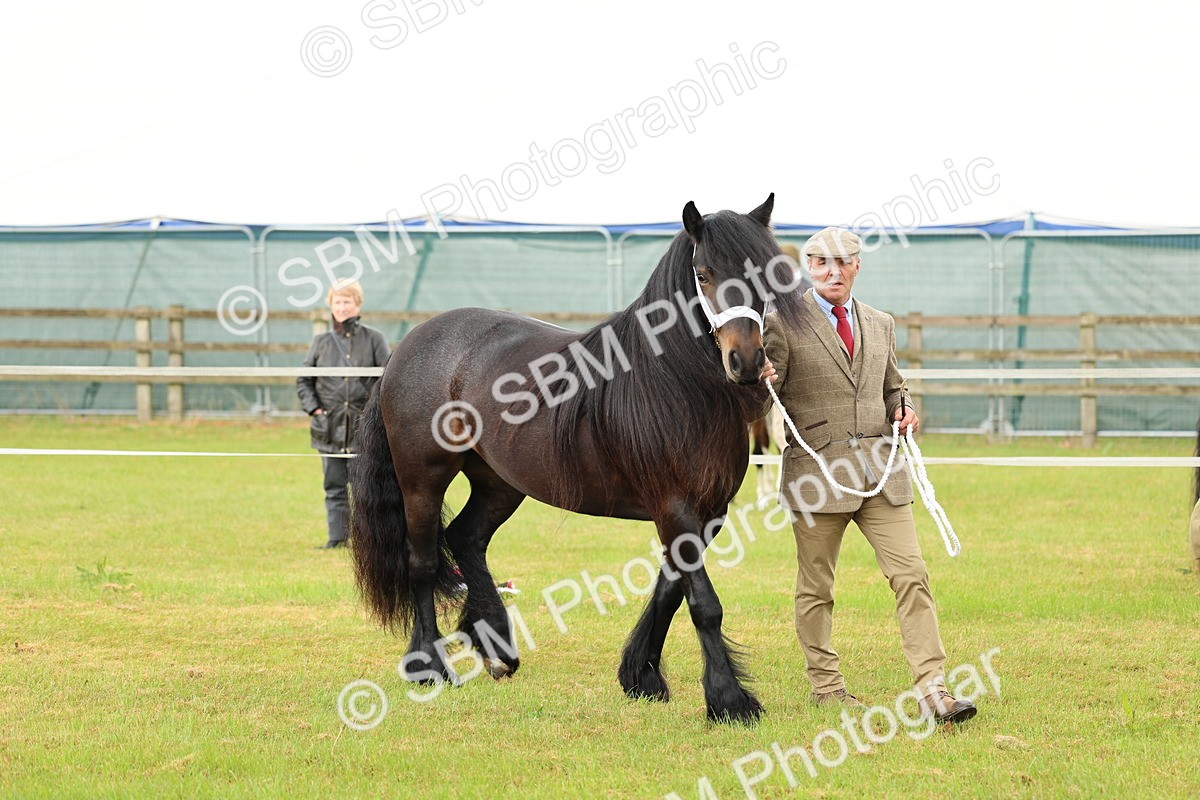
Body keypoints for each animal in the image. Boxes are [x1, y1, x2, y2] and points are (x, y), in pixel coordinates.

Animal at [349, 194, 807, 723]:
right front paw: (729, 700)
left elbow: (670, 591)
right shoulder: (674, 507)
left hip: (499, 482)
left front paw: (641, 675)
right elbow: (703, 604)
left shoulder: (708, 511)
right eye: (704, 273)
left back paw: (497, 650)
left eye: (763, 274)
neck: (673, 384)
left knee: (466, 538)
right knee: (422, 562)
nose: (747, 362)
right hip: (422, 478)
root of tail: (407, 347)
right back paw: (428, 667)